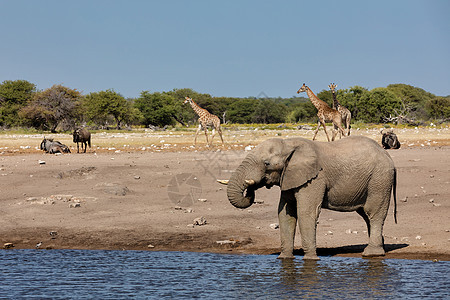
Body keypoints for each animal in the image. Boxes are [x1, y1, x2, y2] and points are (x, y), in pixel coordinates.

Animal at [222, 137, 398, 260]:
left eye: (266, 163)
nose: (250, 187)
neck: (288, 143)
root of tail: (388, 156)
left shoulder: (314, 179)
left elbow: (306, 212)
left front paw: (311, 260)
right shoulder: (289, 177)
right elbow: (285, 213)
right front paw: (284, 258)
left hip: (379, 179)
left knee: (374, 213)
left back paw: (371, 254)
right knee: (366, 215)